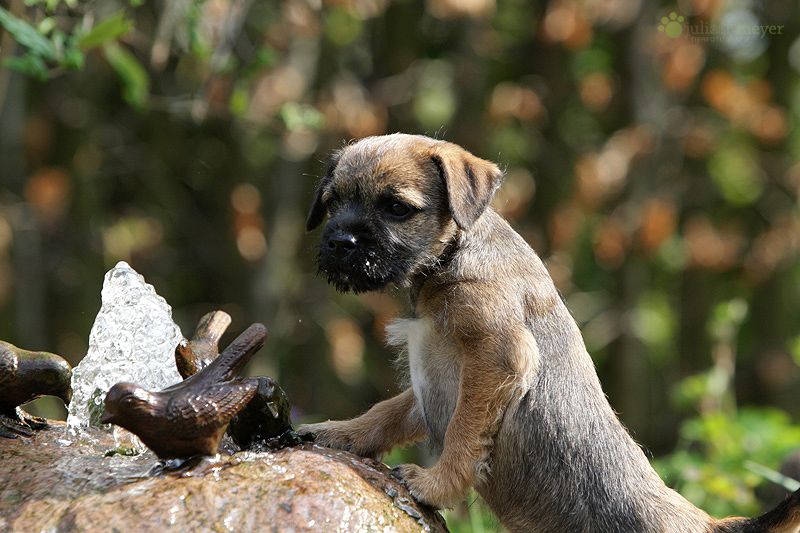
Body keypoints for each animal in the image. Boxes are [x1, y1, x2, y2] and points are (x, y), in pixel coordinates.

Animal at [298, 134, 800, 532]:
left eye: (397, 208)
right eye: (332, 201)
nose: (340, 242)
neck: (452, 257)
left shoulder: (496, 358)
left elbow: (463, 432)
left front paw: (436, 485)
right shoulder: (432, 379)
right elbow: (387, 412)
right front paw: (338, 433)